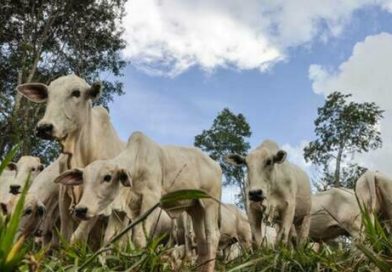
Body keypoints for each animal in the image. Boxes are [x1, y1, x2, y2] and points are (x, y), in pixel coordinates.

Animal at [17, 74, 125, 242]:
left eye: (76, 93)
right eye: (48, 94)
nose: (44, 127)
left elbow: (78, 237)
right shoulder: (64, 195)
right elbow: (65, 235)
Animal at [53, 132, 222, 272]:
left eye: (107, 177)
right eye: (84, 178)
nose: (81, 209)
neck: (137, 163)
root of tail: (216, 165)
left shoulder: (151, 200)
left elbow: (139, 238)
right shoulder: (120, 210)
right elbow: (110, 239)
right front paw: (105, 264)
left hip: (209, 204)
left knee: (212, 236)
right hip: (195, 208)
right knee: (201, 241)